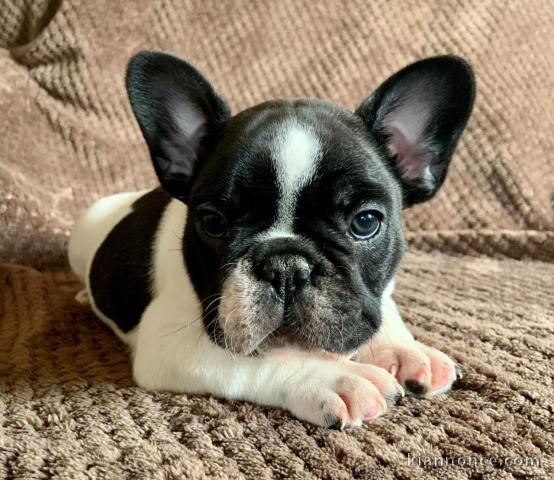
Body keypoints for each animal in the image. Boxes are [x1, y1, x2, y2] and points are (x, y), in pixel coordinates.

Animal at [69, 51, 472, 428]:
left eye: (365, 221)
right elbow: (261, 361)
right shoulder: (172, 341)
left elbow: (382, 304)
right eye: (213, 222)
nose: (286, 267)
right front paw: (335, 377)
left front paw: (406, 350)